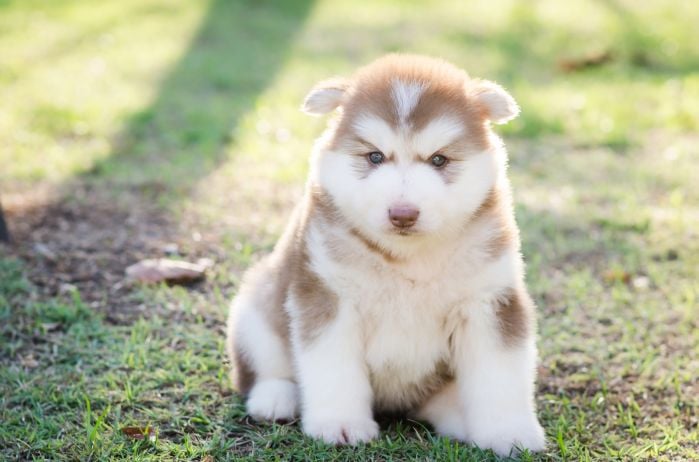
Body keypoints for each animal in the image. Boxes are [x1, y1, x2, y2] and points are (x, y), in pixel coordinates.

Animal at [227, 53, 544, 454]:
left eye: (439, 160)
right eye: (375, 156)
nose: (403, 213)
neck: (407, 258)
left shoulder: (489, 300)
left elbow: (501, 375)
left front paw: (510, 432)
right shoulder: (329, 296)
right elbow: (333, 368)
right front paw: (340, 424)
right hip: (255, 308)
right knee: (264, 367)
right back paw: (275, 398)